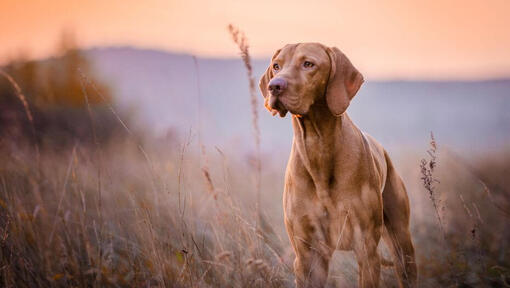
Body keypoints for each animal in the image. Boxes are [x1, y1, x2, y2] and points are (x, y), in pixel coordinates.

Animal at [258, 43, 418, 288]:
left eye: (308, 64)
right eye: (276, 66)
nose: (274, 86)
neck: (318, 147)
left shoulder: (366, 249)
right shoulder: (307, 256)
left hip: (402, 245)